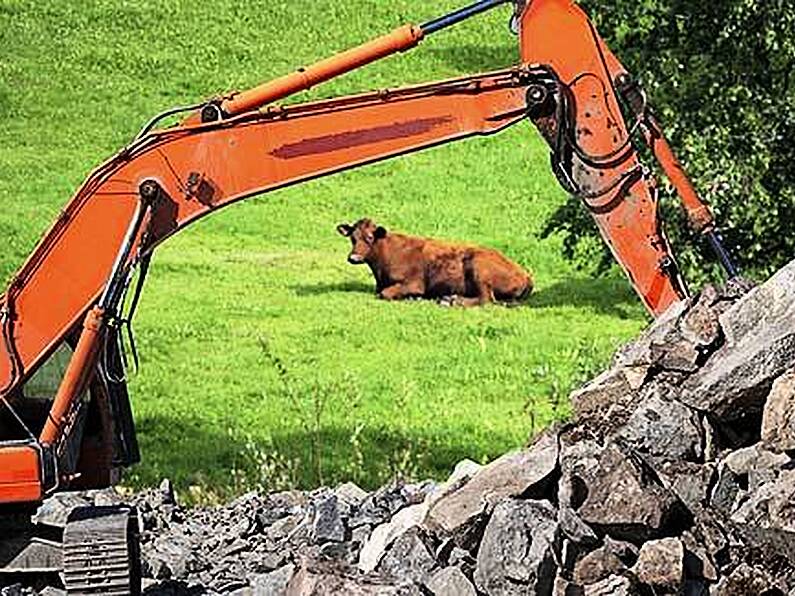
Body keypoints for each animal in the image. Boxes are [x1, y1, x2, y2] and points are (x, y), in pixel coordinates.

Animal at [336, 218, 536, 304]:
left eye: (370, 237)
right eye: (352, 238)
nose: (353, 257)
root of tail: (525, 274)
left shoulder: (414, 283)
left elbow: (385, 293)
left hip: (479, 269)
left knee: (486, 299)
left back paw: (453, 300)